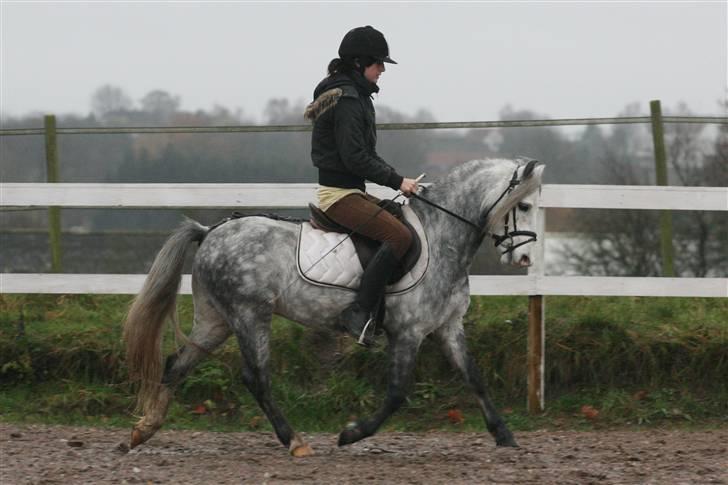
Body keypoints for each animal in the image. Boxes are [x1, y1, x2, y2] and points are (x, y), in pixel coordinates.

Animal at [122, 157, 544, 456]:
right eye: (523, 206)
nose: (525, 258)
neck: (443, 235)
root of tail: (210, 232)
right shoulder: (409, 331)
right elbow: (396, 393)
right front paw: (351, 434)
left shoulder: (448, 326)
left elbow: (474, 377)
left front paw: (504, 435)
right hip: (249, 314)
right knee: (255, 377)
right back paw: (295, 441)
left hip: (216, 320)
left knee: (177, 365)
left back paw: (141, 431)